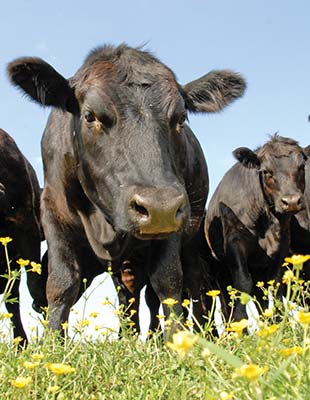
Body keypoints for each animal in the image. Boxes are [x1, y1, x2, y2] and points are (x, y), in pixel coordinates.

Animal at [205, 136, 306, 320]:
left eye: (302, 166)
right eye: (266, 171)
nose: (291, 201)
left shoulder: (282, 247)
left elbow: (276, 284)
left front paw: (279, 321)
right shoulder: (235, 241)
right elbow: (243, 282)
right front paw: (240, 320)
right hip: (220, 272)